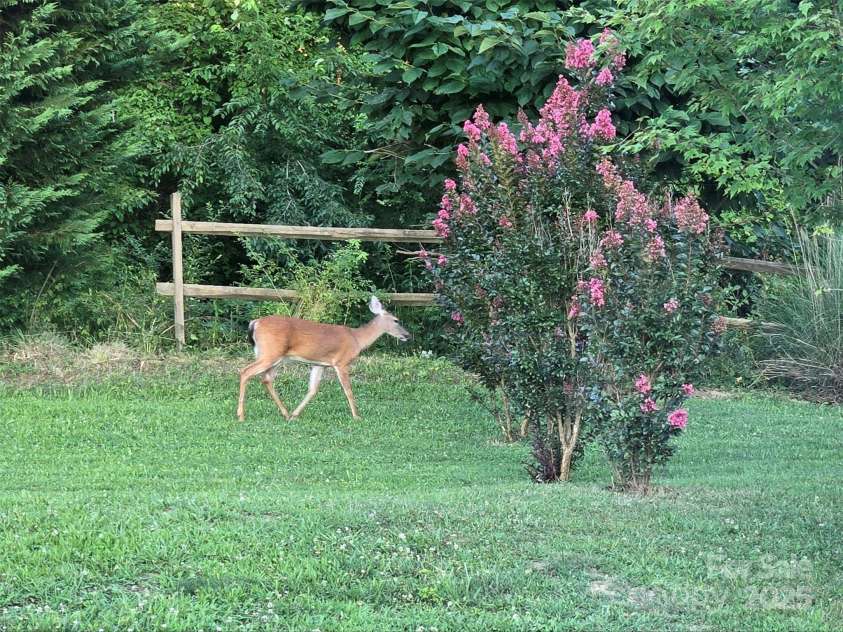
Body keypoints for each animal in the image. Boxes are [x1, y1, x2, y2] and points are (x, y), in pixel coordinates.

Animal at [237, 296, 410, 422]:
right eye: (396, 320)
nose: (407, 335)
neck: (357, 339)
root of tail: (255, 323)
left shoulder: (320, 364)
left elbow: (313, 390)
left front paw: (295, 415)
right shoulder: (341, 362)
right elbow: (348, 390)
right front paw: (357, 416)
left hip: (274, 356)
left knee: (266, 379)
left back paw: (286, 414)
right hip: (270, 353)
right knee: (246, 371)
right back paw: (241, 416)